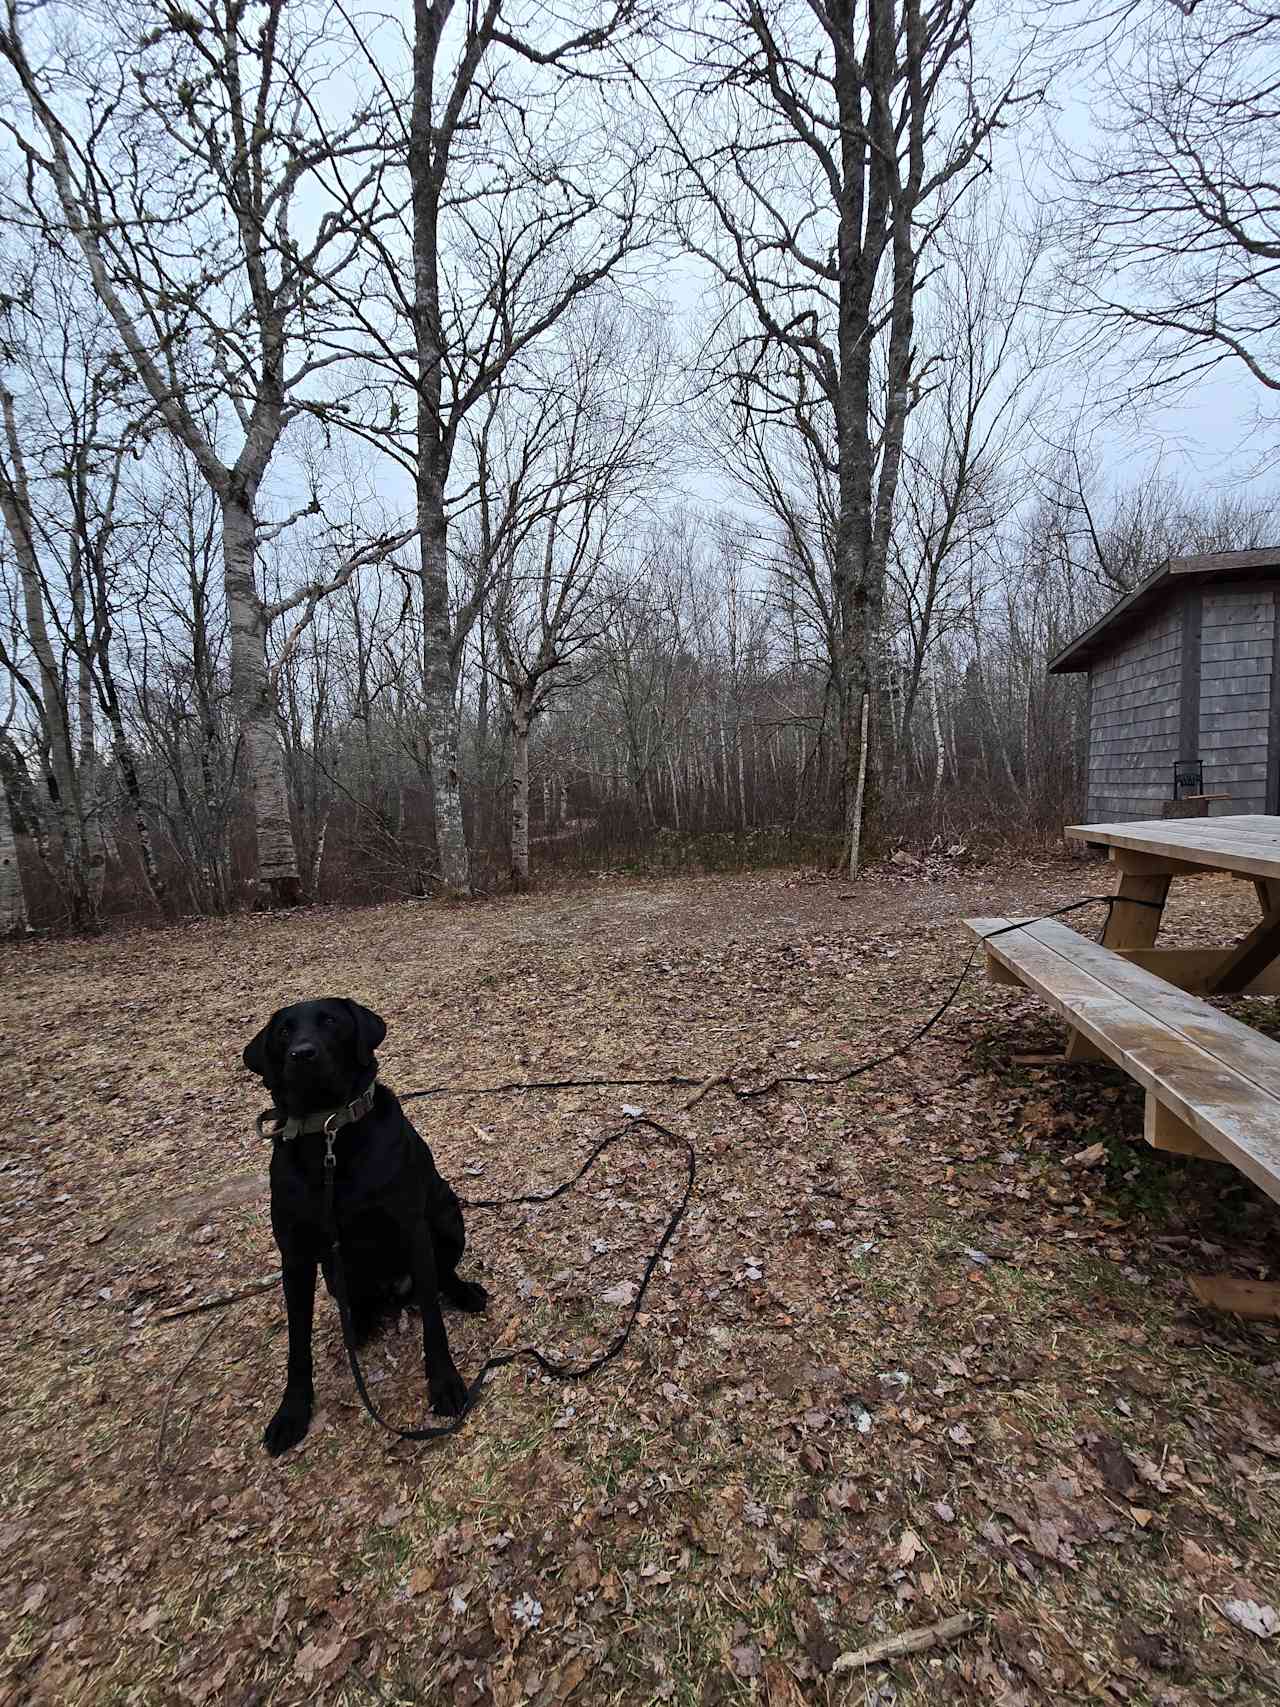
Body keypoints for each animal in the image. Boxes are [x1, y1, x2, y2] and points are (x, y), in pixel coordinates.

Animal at [242, 996, 488, 1454]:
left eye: (331, 1022)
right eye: (283, 1032)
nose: (302, 1054)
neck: (328, 1136)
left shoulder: (412, 1230)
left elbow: (434, 1323)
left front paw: (444, 1383)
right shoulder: (295, 1256)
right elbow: (297, 1344)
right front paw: (291, 1413)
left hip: (447, 1218)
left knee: (441, 1277)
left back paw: (464, 1293)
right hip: (333, 1272)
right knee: (358, 1302)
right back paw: (357, 1326)